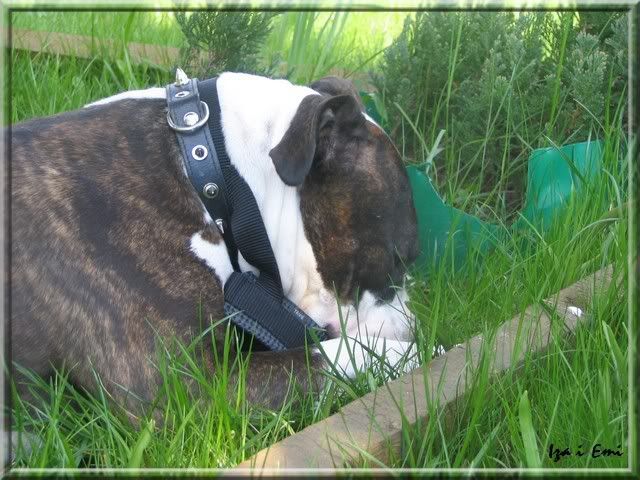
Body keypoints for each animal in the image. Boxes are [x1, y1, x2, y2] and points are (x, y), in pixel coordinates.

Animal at [8, 73, 419, 428]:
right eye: (399, 260)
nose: (412, 325)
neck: (215, 172)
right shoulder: (186, 385)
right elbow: (333, 355)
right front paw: (416, 355)